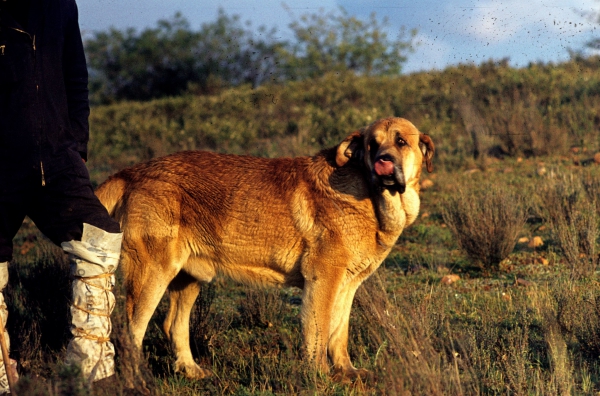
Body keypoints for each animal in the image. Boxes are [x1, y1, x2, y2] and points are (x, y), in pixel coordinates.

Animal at [97, 117, 436, 380]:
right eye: (371, 146)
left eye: (401, 142)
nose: (383, 161)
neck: (370, 195)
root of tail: (132, 172)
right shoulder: (323, 280)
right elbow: (319, 331)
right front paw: (320, 376)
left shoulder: (347, 285)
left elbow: (339, 333)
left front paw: (346, 372)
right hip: (152, 274)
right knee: (130, 331)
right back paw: (138, 380)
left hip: (188, 278)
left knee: (173, 325)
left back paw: (191, 370)